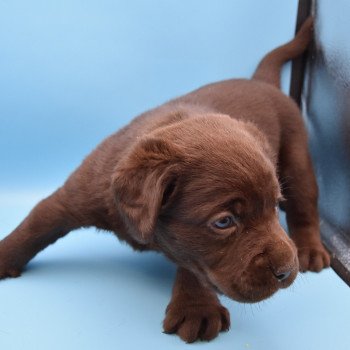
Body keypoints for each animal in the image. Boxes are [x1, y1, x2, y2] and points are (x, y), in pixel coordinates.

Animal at [0, 17, 328, 344]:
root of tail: (260, 81)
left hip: (297, 158)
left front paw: (196, 309)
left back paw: (310, 251)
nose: (286, 270)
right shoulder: (79, 194)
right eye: (224, 222)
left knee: (305, 205)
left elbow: (192, 265)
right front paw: (5, 255)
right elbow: (36, 224)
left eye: (273, 206)